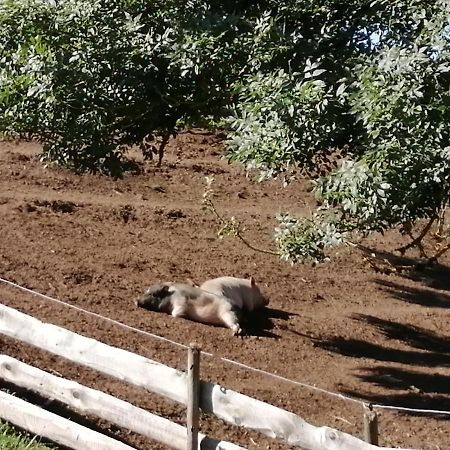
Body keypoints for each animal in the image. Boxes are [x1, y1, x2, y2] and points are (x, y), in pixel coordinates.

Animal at [137, 274, 268, 334]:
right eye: (146, 291)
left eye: (154, 294)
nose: (136, 300)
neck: (172, 294)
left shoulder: (181, 302)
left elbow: (176, 313)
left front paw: (180, 316)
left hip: (227, 314)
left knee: (236, 325)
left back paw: (235, 333)